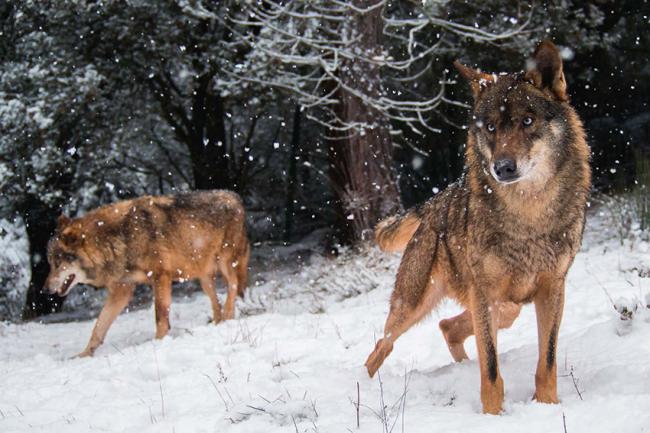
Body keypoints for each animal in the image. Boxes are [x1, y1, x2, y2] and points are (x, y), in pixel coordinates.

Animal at [43, 191, 249, 356]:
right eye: (50, 264)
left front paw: (158, 343)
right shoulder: (122, 291)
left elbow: (160, 317)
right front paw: (83, 355)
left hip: (224, 262)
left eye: (58, 263)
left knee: (233, 285)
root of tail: (235, 197)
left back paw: (228, 316)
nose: (44, 290)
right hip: (204, 278)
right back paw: (218, 322)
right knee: (216, 301)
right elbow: (98, 327)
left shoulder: (161, 277)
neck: (118, 239)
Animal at [362, 41, 588, 416]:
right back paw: (365, 390)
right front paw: (494, 417)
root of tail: (433, 204)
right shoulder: (484, 292)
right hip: (413, 306)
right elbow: (492, 370)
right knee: (381, 346)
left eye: (527, 121)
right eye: (491, 128)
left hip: (499, 305)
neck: (528, 214)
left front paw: (547, 407)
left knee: (449, 326)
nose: (503, 168)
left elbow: (547, 362)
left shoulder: (554, 288)